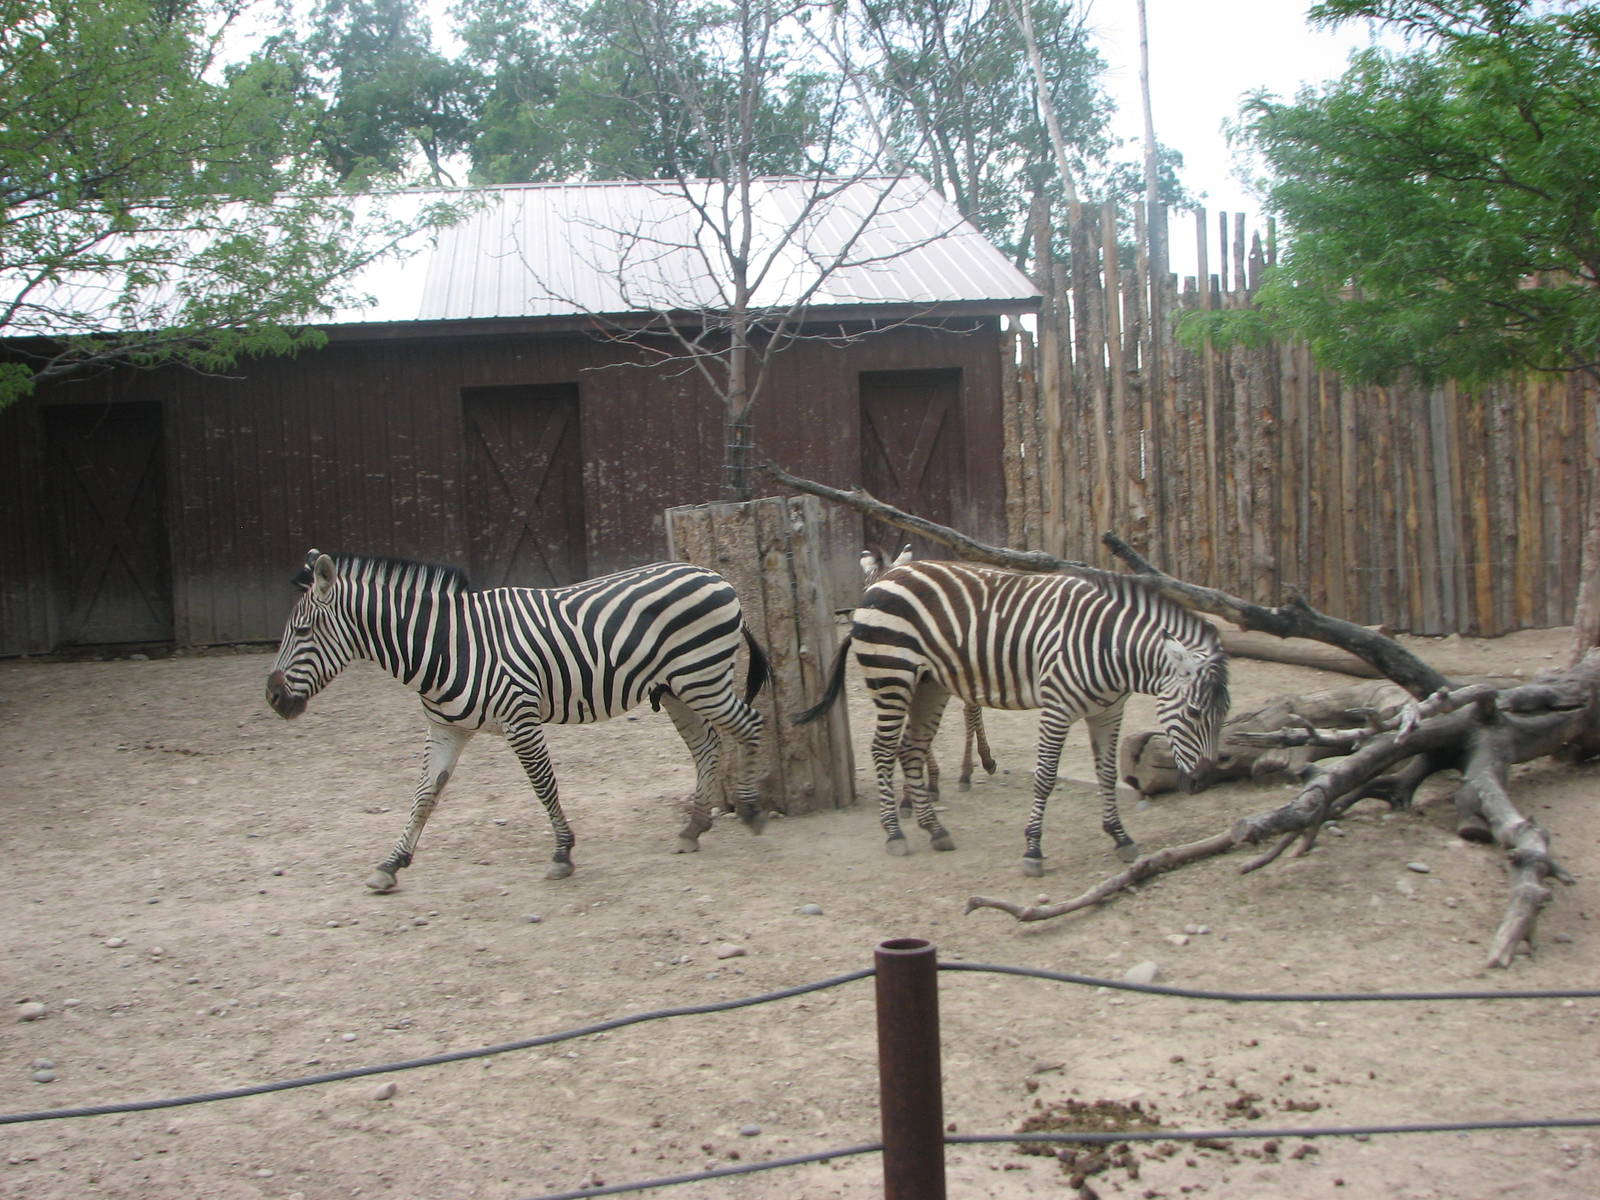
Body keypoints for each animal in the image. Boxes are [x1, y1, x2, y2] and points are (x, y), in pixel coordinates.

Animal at [265, 550, 769, 891]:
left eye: (302, 631)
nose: (272, 698)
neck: (449, 645)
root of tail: (716, 575)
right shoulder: (445, 729)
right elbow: (424, 795)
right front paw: (391, 864)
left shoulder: (519, 717)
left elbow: (544, 786)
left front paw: (563, 853)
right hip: (678, 689)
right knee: (707, 745)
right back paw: (693, 827)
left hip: (702, 679)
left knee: (750, 725)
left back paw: (750, 810)